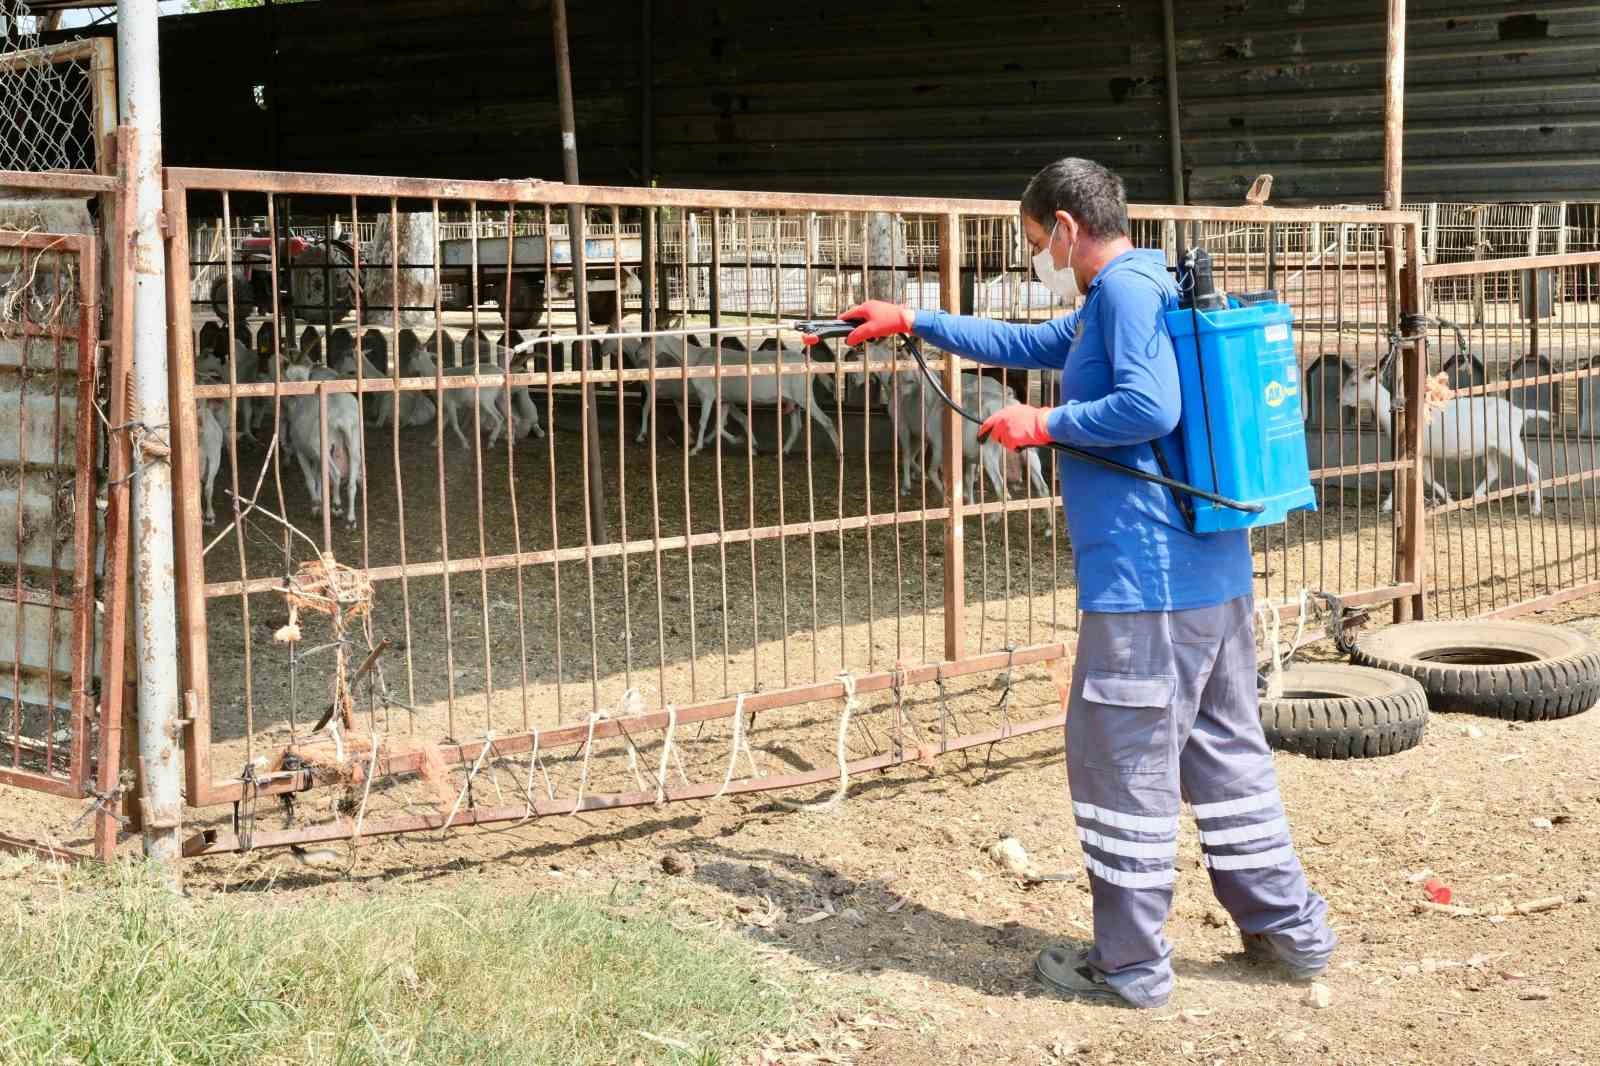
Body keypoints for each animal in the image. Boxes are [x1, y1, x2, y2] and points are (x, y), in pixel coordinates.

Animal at [1337, 368, 1548, 512]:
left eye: (1354, 382)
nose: (1339, 399)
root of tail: (1520, 413)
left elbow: (1409, 474)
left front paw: (1387, 505)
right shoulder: (1426, 453)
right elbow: (1426, 477)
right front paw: (1449, 499)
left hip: (1509, 442)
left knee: (1534, 468)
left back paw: (1536, 509)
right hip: (1490, 448)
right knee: (1494, 471)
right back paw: (1471, 500)